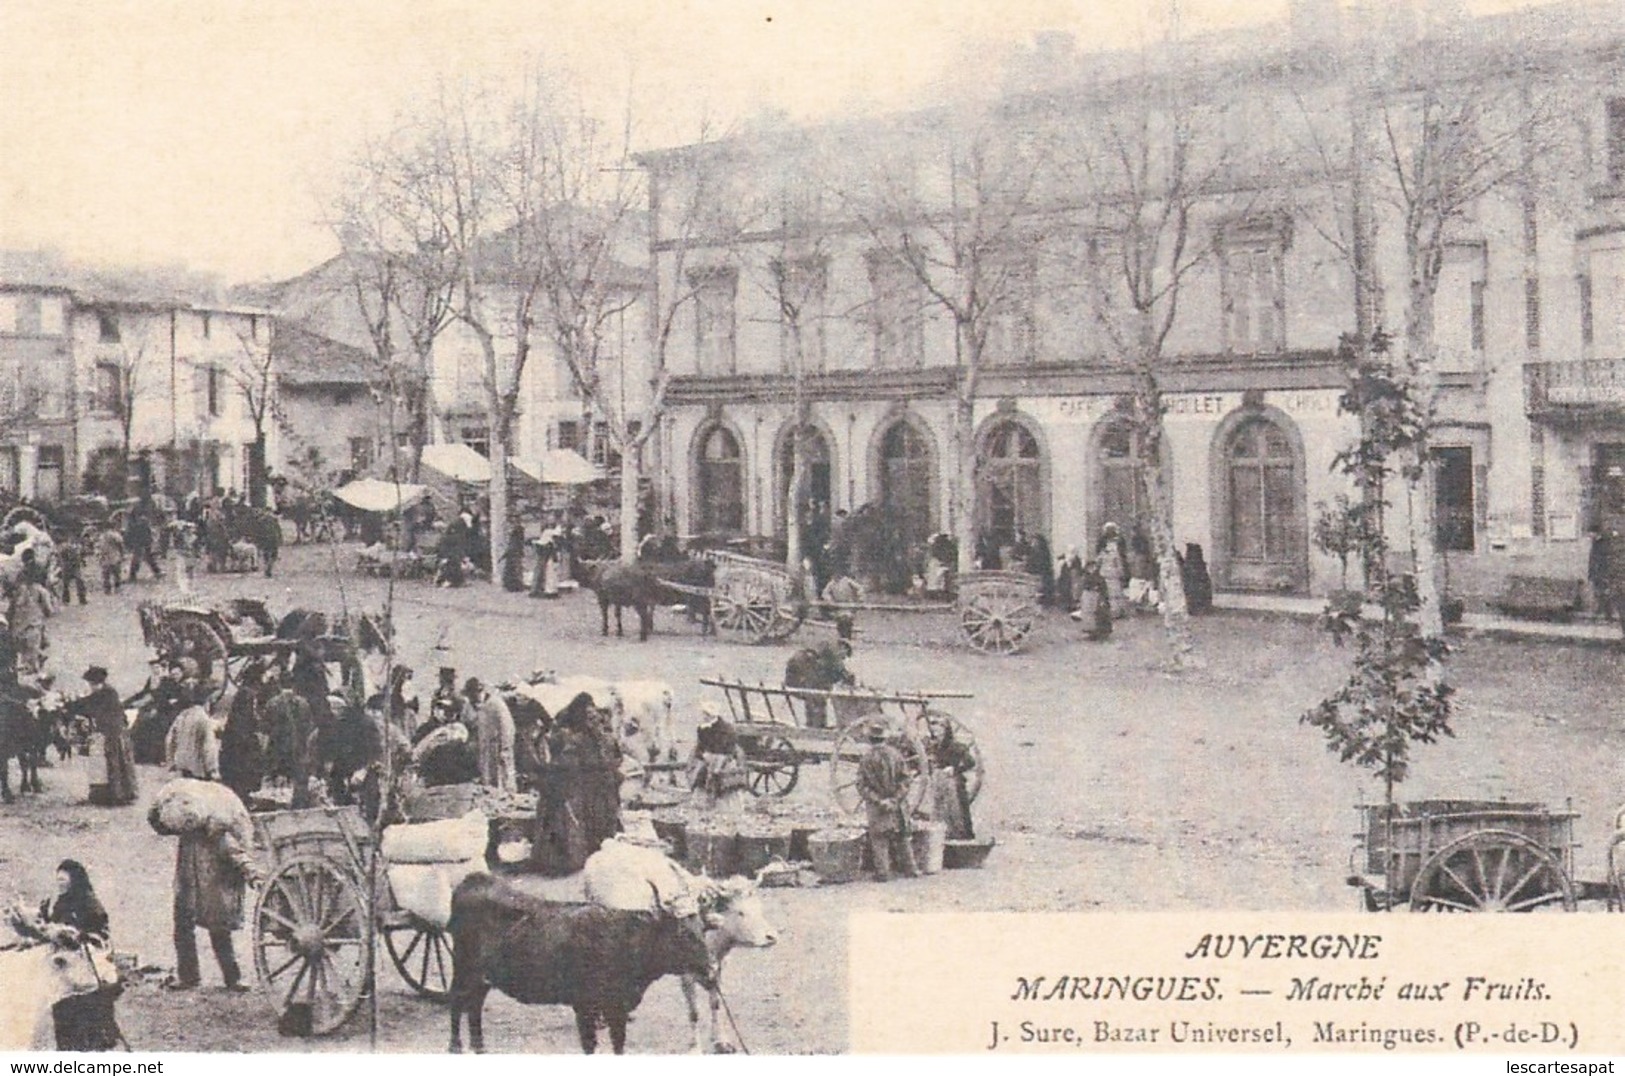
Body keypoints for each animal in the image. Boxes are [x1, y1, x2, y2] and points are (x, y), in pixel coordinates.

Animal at [445, 871, 711, 1059]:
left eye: (701, 929)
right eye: (681, 933)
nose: (709, 968)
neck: (621, 940)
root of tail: (474, 879)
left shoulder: (617, 1009)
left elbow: (618, 1045)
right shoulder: (585, 1006)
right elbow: (590, 1046)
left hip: (482, 976)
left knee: (475, 1005)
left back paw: (480, 1049)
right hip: (464, 966)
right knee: (457, 1000)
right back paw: (455, 1047)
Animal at [585, 845, 780, 1053]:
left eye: (759, 908)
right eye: (740, 912)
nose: (771, 937)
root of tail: (606, 848)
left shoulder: (718, 969)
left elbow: (715, 1003)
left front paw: (721, 1041)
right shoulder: (686, 975)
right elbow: (694, 1012)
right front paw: (695, 1048)